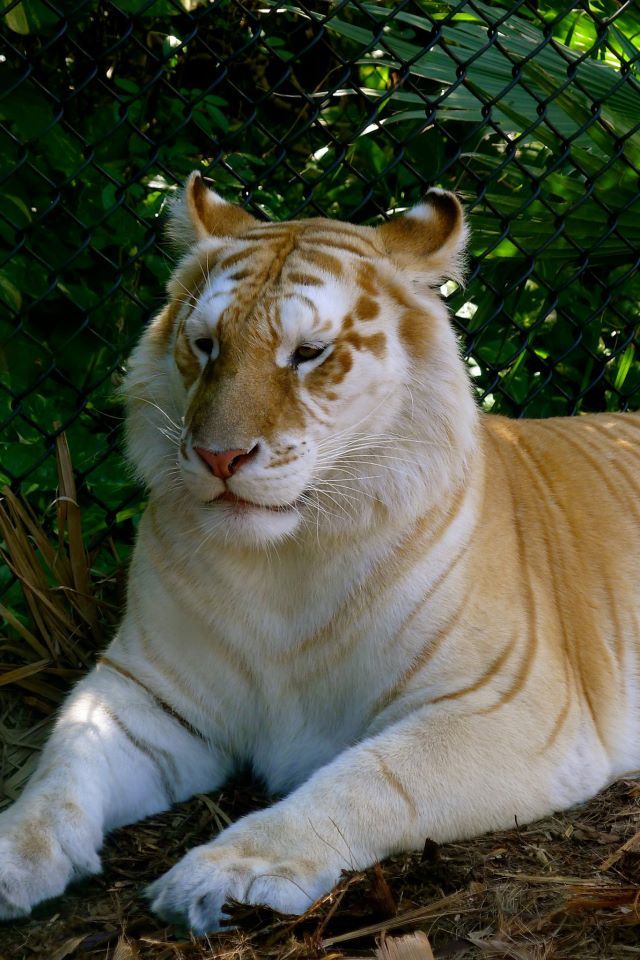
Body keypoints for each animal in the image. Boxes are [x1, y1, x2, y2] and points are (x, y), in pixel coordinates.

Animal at [0, 171, 639, 934]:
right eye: (206, 346)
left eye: (307, 353)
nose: (219, 456)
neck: (282, 563)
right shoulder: (145, 691)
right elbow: (62, 766)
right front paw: (13, 854)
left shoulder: (507, 705)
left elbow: (367, 780)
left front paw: (227, 872)